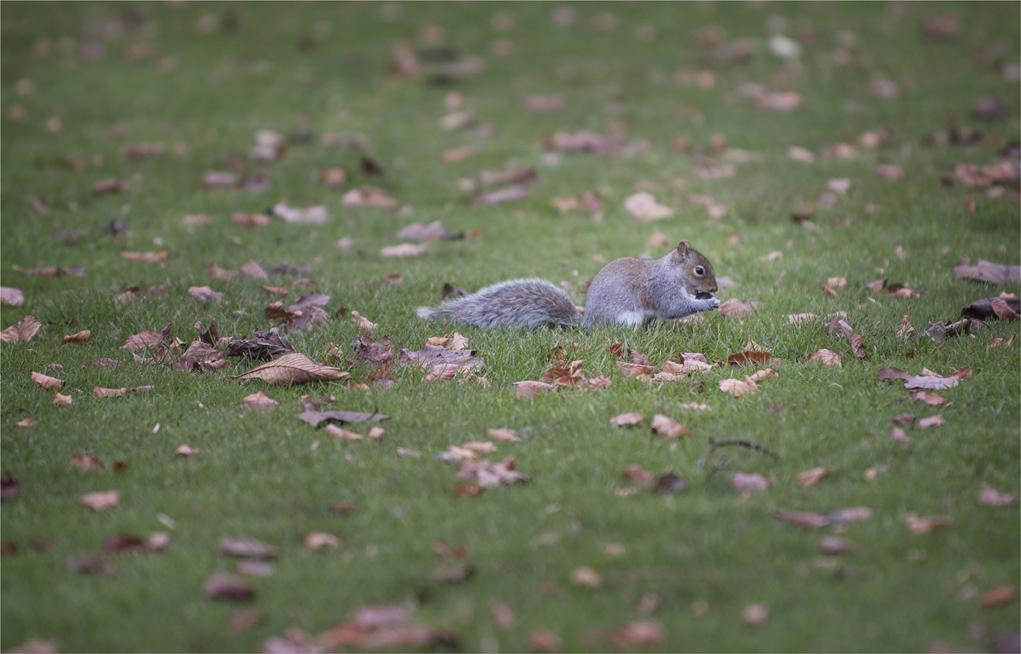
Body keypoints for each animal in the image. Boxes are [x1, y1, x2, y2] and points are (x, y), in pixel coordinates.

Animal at [417, 240, 720, 329]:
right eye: (699, 270)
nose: (714, 289)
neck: (671, 272)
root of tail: (586, 324)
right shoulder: (661, 289)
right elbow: (674, 307)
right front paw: (708, 303)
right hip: (625, 319)